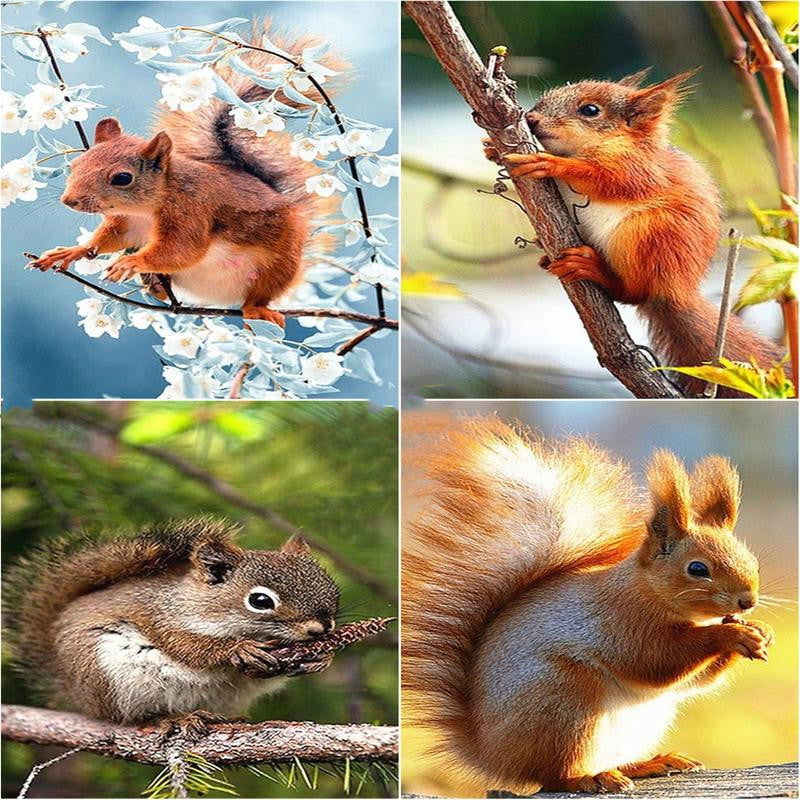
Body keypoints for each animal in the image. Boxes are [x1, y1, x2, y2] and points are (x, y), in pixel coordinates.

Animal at [3, 518, 340, 733]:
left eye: (330, 585)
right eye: (260, 600)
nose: (320, 629)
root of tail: (69, 687)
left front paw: (323, 658)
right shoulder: (160, 617)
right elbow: (189, 648)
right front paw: (238, 649)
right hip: (109, 676)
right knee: (130, 718)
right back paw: (172, 719)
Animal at [28, 22, 343, 328]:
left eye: (122, 178)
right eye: (75, 165)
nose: (69, 200)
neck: (146, 209)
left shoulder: (191, 212)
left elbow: (182, 250)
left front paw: (133, 262)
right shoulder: (126, 224)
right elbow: (106, 241)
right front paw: (72, 251)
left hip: (280, 265)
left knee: (260, 294)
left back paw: (256, 310)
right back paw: (155, 285)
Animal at [403, 415, 774, 794]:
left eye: (753, 561)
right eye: (697, 569)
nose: (747, 601)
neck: (647, 590)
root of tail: (491, 753)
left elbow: (696, 681)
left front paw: (760, 630)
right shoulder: (621, 621)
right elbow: (656, 660)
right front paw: (731, 635)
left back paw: (651, 763)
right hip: (566, 699)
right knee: (553, 775)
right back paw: (589, 777)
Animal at [483, 68, 788, 397]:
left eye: (590, 110)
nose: (531, 118)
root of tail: (674, 290)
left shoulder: (640, 169)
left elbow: (607, 178)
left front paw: (550, 162)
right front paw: (491, 147)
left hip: (647, 234)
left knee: (633, 293)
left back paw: (592, 268)